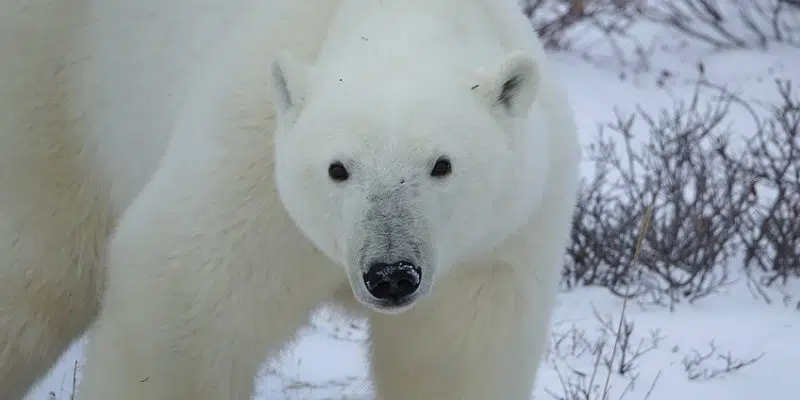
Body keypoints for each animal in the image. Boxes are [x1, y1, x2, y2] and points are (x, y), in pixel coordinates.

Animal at [0, 0, 576, 396]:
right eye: (338, 169)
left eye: (442, 165)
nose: (390, 274)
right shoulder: (248, 168)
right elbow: (182, 308)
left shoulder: (496, 246)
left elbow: (456, 359)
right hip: (51, 92)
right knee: (39, 275)